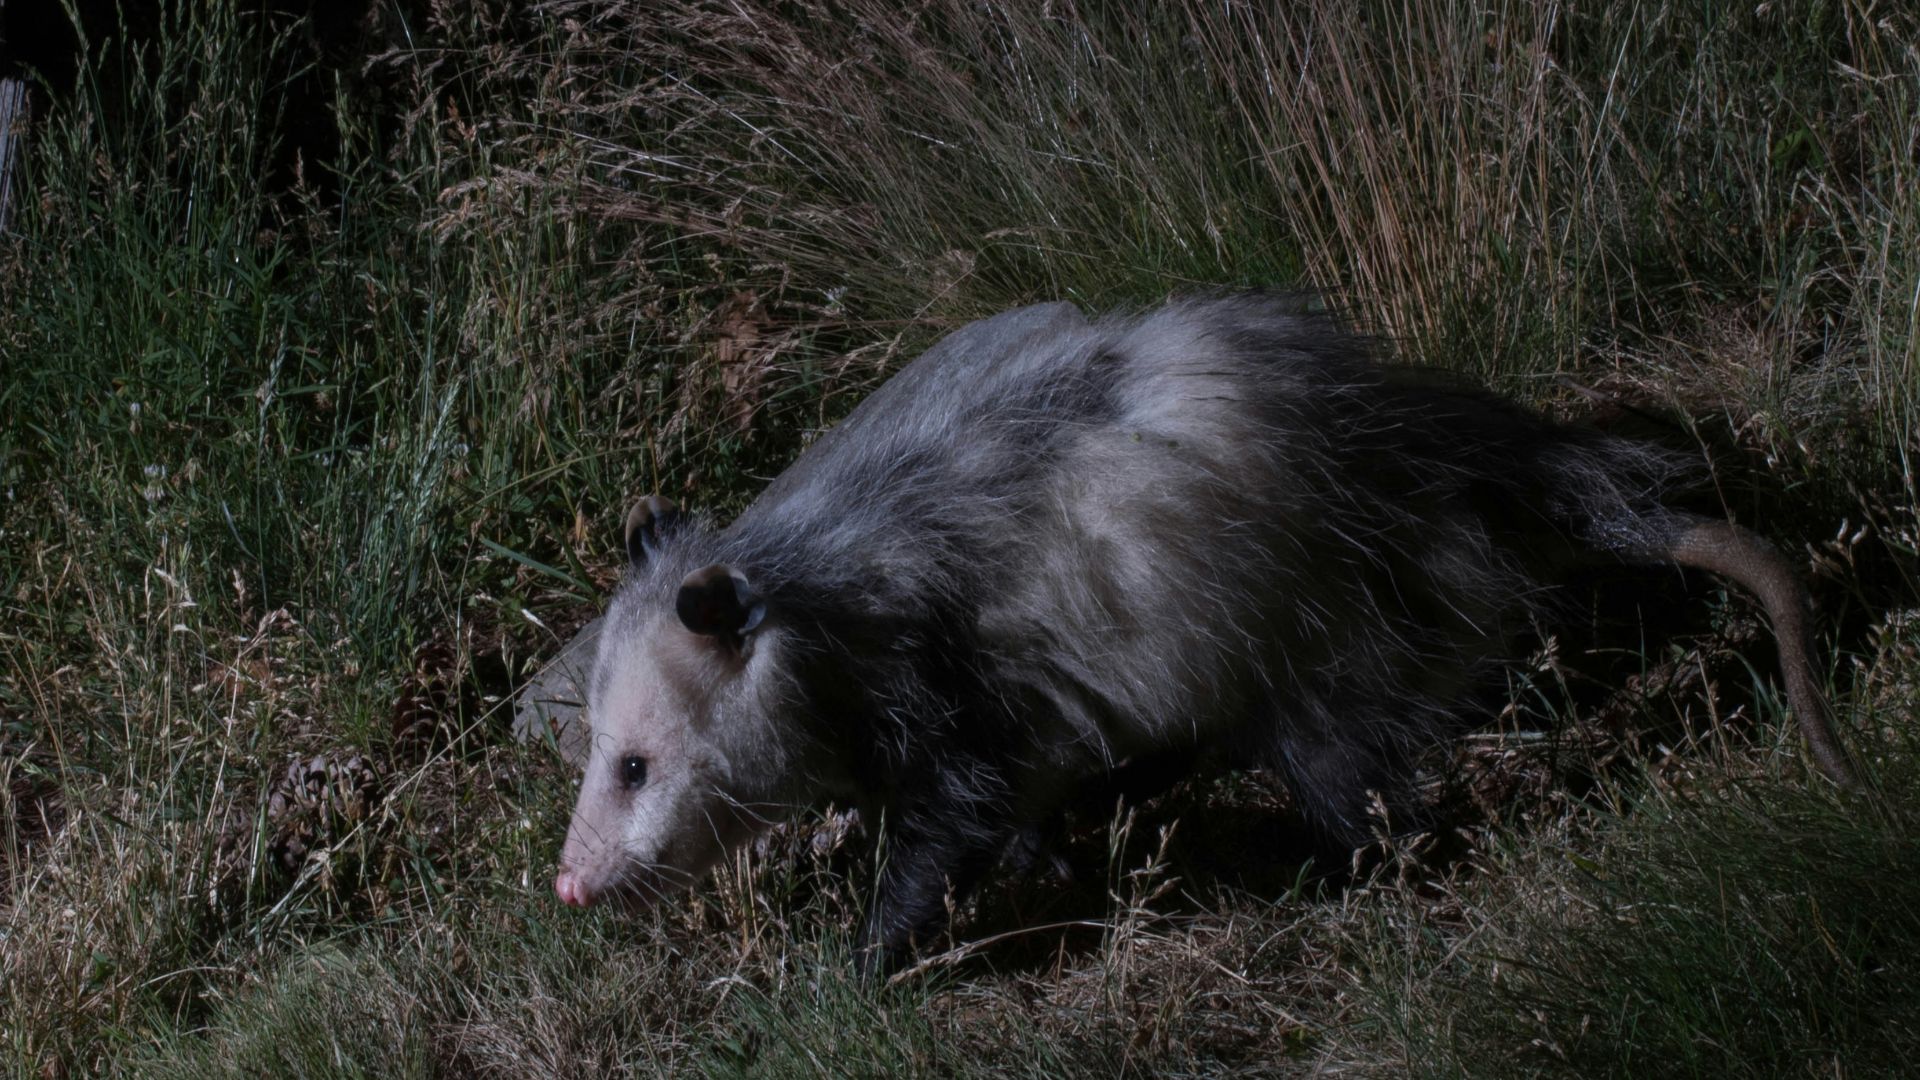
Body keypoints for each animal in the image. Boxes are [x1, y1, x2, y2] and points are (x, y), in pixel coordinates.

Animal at [552, 294, 1856, 970]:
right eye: (598, 755)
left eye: (636, 766)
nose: (569, 884)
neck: (813, 598)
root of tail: (1427, 442)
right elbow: (1004, 817)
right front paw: (1045, 860)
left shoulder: (932, 680)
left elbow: (954, 819)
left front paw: (866, 961)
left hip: (1321, 633)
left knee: (1350, 779)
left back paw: (1336, 866)